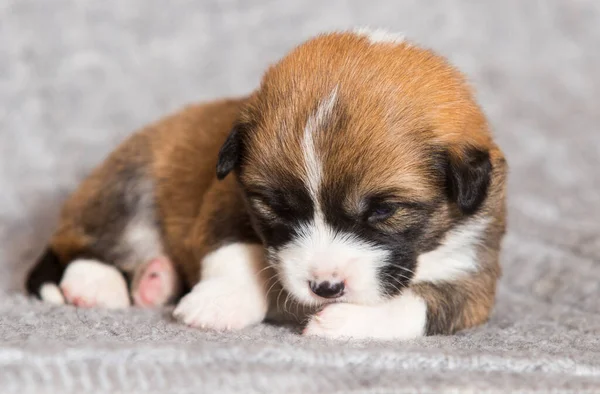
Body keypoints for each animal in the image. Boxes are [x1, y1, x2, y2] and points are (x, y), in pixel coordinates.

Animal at [25, 29, 504, 340]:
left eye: (384, 211)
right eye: (276, 206)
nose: (326, 289)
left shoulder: (474, 274)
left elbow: (421, 304)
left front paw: (346, 322)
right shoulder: (226, 200)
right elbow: (237, 252)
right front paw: (221, 302)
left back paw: (155, 281)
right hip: (127, 188)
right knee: (82, 241)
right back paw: (95, 283)